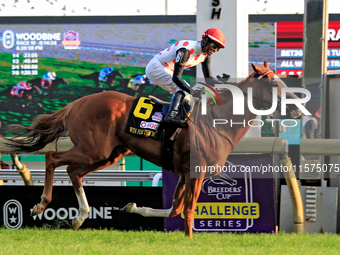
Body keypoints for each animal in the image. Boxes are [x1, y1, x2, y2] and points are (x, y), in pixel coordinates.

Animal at [3, 61, 302, 237]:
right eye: (274, 83)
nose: (298, 107)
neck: (217, 124)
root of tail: (78, 102)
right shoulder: (196, 172)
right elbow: (188, 210)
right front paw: (190, 239)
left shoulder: (183, 173)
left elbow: (175, 209)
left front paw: (132, 206)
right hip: (93, 149)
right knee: (53, 157)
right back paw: (41, 204)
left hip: (109, 154)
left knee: (74, 172)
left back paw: (80, 217)